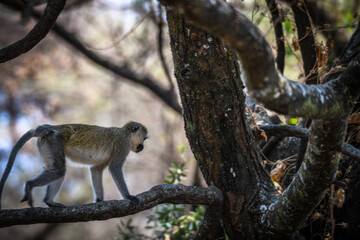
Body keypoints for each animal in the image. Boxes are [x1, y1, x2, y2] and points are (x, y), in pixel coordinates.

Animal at [0, 122, 148, 208]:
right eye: (144, 138)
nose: (142, 147)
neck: (126, 133)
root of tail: (51, 128)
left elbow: (96, 169)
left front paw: (99, 200)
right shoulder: (123, 144)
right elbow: (115, 168)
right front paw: (129, 197)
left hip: (46, 142)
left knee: (56, 169)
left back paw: (49, 201)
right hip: (54, 139)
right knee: (59, 170)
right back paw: (30, 186)